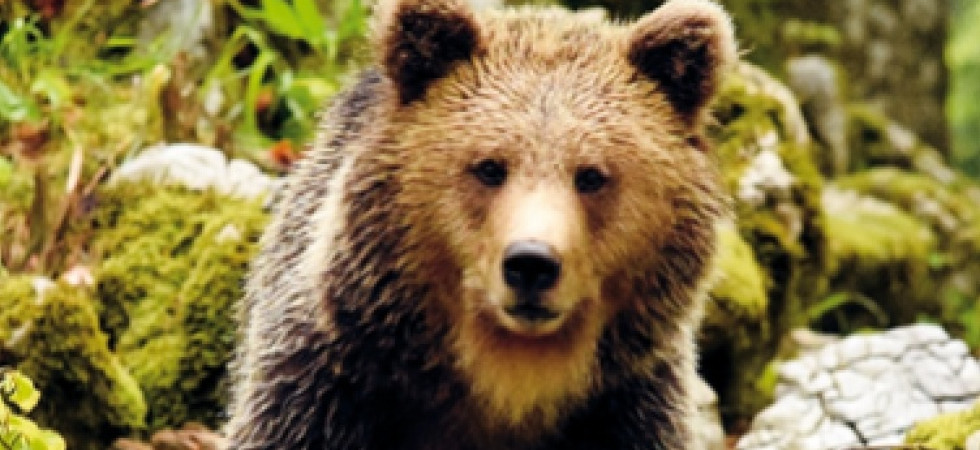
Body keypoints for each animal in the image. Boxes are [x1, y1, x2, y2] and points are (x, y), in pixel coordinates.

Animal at [225, 0, 735, 448]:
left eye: (591, 175)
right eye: (489, 167)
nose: (532, 263)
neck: (508, 377)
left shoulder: (630, 406)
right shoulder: (328, 382)